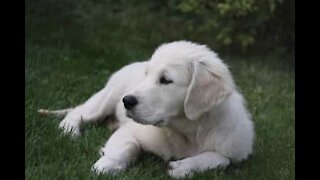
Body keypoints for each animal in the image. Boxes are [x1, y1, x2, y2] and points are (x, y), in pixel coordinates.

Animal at [39, 40, 255, 177]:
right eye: (147, 75)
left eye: (166, 80)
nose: (127, 101)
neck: (186, 132)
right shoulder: (130, 130)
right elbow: (126, 147)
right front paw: (105, 166)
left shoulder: (234, 149)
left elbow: (221, 159)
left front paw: (184, 167)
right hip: (108, 97)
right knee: (77, 112)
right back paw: (70, 131)